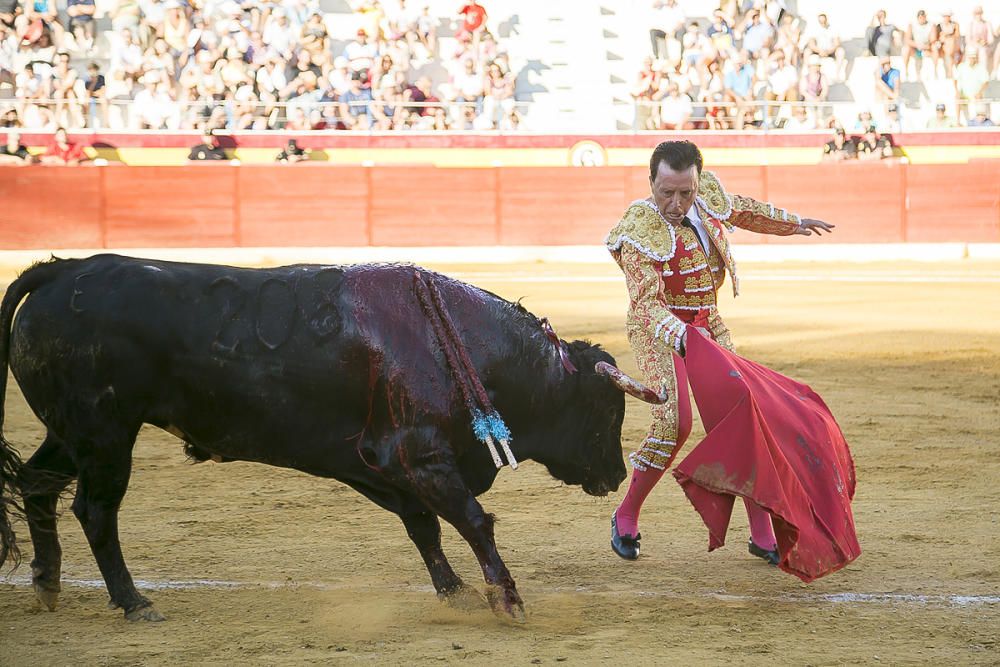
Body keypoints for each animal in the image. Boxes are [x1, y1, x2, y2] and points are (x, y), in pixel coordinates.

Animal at [3, 254, 668, 620]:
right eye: (606, 410)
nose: (614, 474)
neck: (459, 344)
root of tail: (64, 271)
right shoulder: (421, 456)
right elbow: (473, 521)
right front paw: (506, 600)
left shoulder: (382, 465)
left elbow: (425, 526)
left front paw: (454, 592)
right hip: (106, 434)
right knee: (95, 510)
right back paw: (133, 602)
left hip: (73, 431)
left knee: (36, 484)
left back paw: (47, 583)